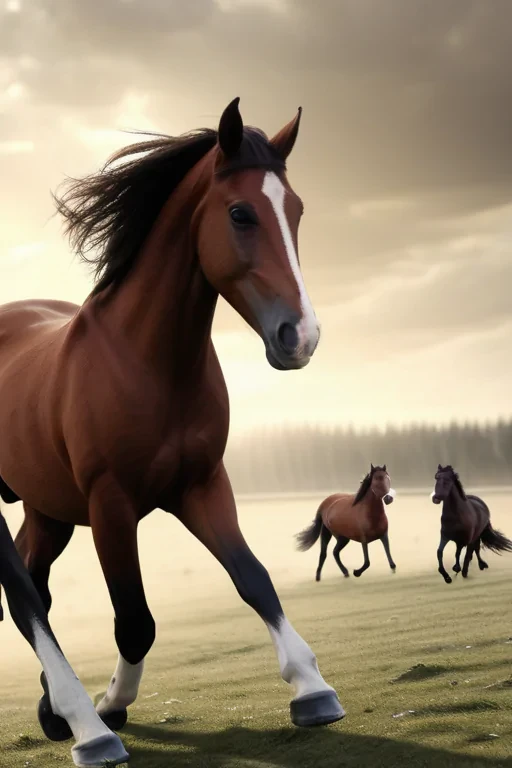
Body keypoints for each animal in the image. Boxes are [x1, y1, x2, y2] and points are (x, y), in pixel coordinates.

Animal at [0, 98, 344, 767]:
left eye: (295, 211)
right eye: (240, 213)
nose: (301, 337)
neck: (147, 362)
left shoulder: (202, 485)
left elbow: (254, 579)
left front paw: (313, 690)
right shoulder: (111, 506)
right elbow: (136, 621)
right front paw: (109, 709)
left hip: (47, 508)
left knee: (35, 580)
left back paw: (53, 712)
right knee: (23, 593)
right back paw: (84, 724)